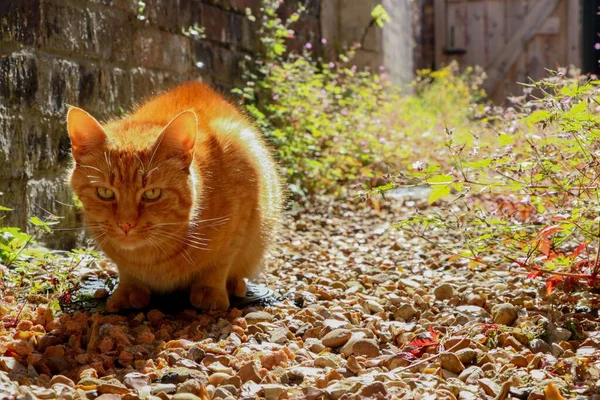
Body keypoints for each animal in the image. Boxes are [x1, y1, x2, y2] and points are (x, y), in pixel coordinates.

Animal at [67, 82, 282, 312]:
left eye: (152, 194)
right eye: (105, 192)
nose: (126, 224)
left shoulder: (241, 214)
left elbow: (219, 264)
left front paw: (210, 291)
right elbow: (126, 271)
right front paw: (129, 289)